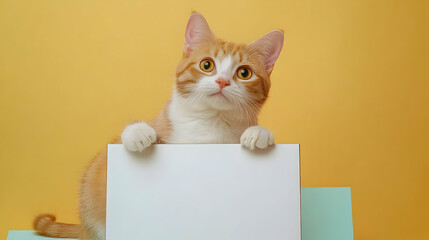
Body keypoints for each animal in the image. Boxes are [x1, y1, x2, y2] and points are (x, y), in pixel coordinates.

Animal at [31, 12, 282, 240]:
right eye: (207, 65)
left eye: (244, 73)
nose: (222, 81)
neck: (211, 122)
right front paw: (137, 132)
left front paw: (259, 133)